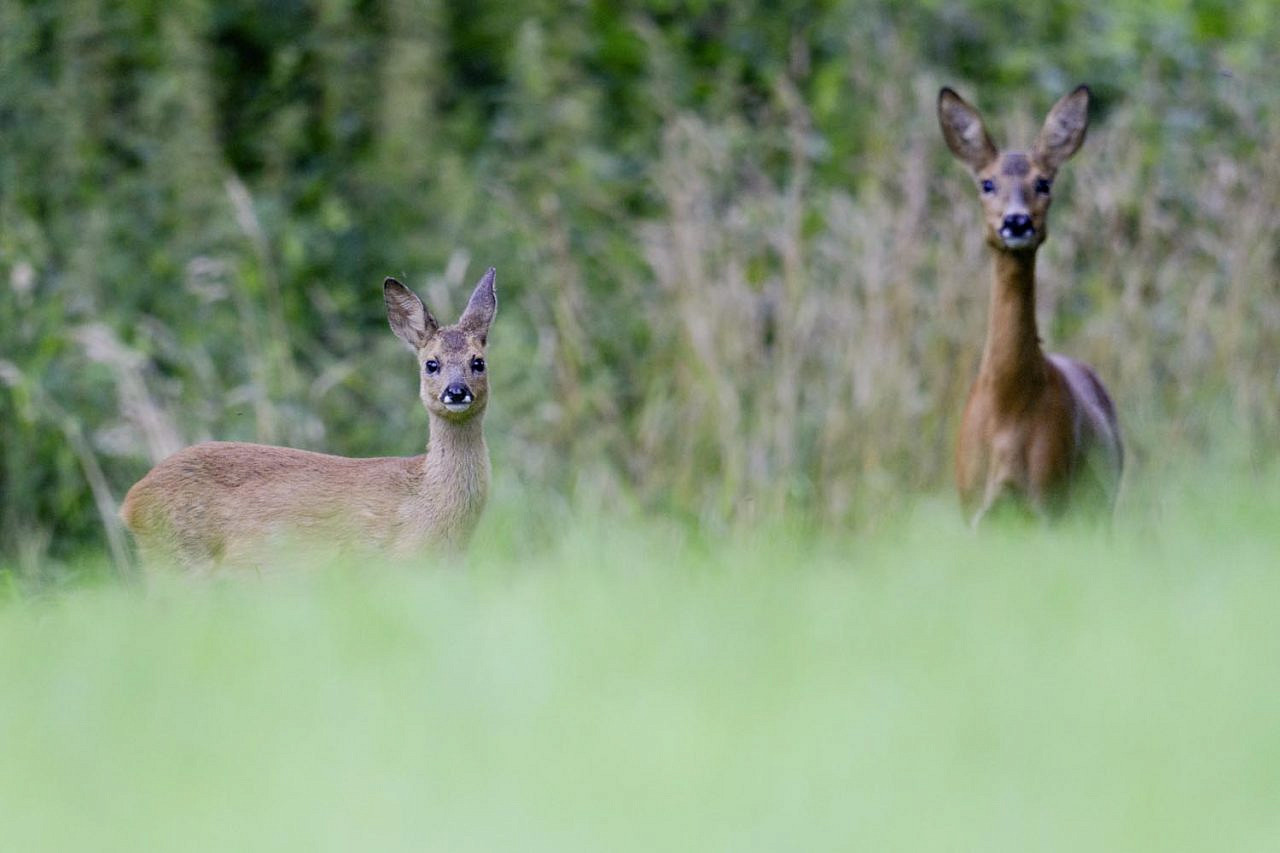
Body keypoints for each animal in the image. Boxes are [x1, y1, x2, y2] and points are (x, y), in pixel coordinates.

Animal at [120, 267, 498, 571]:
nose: (456, 391)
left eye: (478, 361)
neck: (425, 504)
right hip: (180, 559)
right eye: (431, 363)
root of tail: (131, 503)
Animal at [937, 85, 1123, 527]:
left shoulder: (1049, 498)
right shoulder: (973, 505)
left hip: (1098, 505)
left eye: (1043, 182)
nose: (1017, 222)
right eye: (987, 183)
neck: (1008, 409)